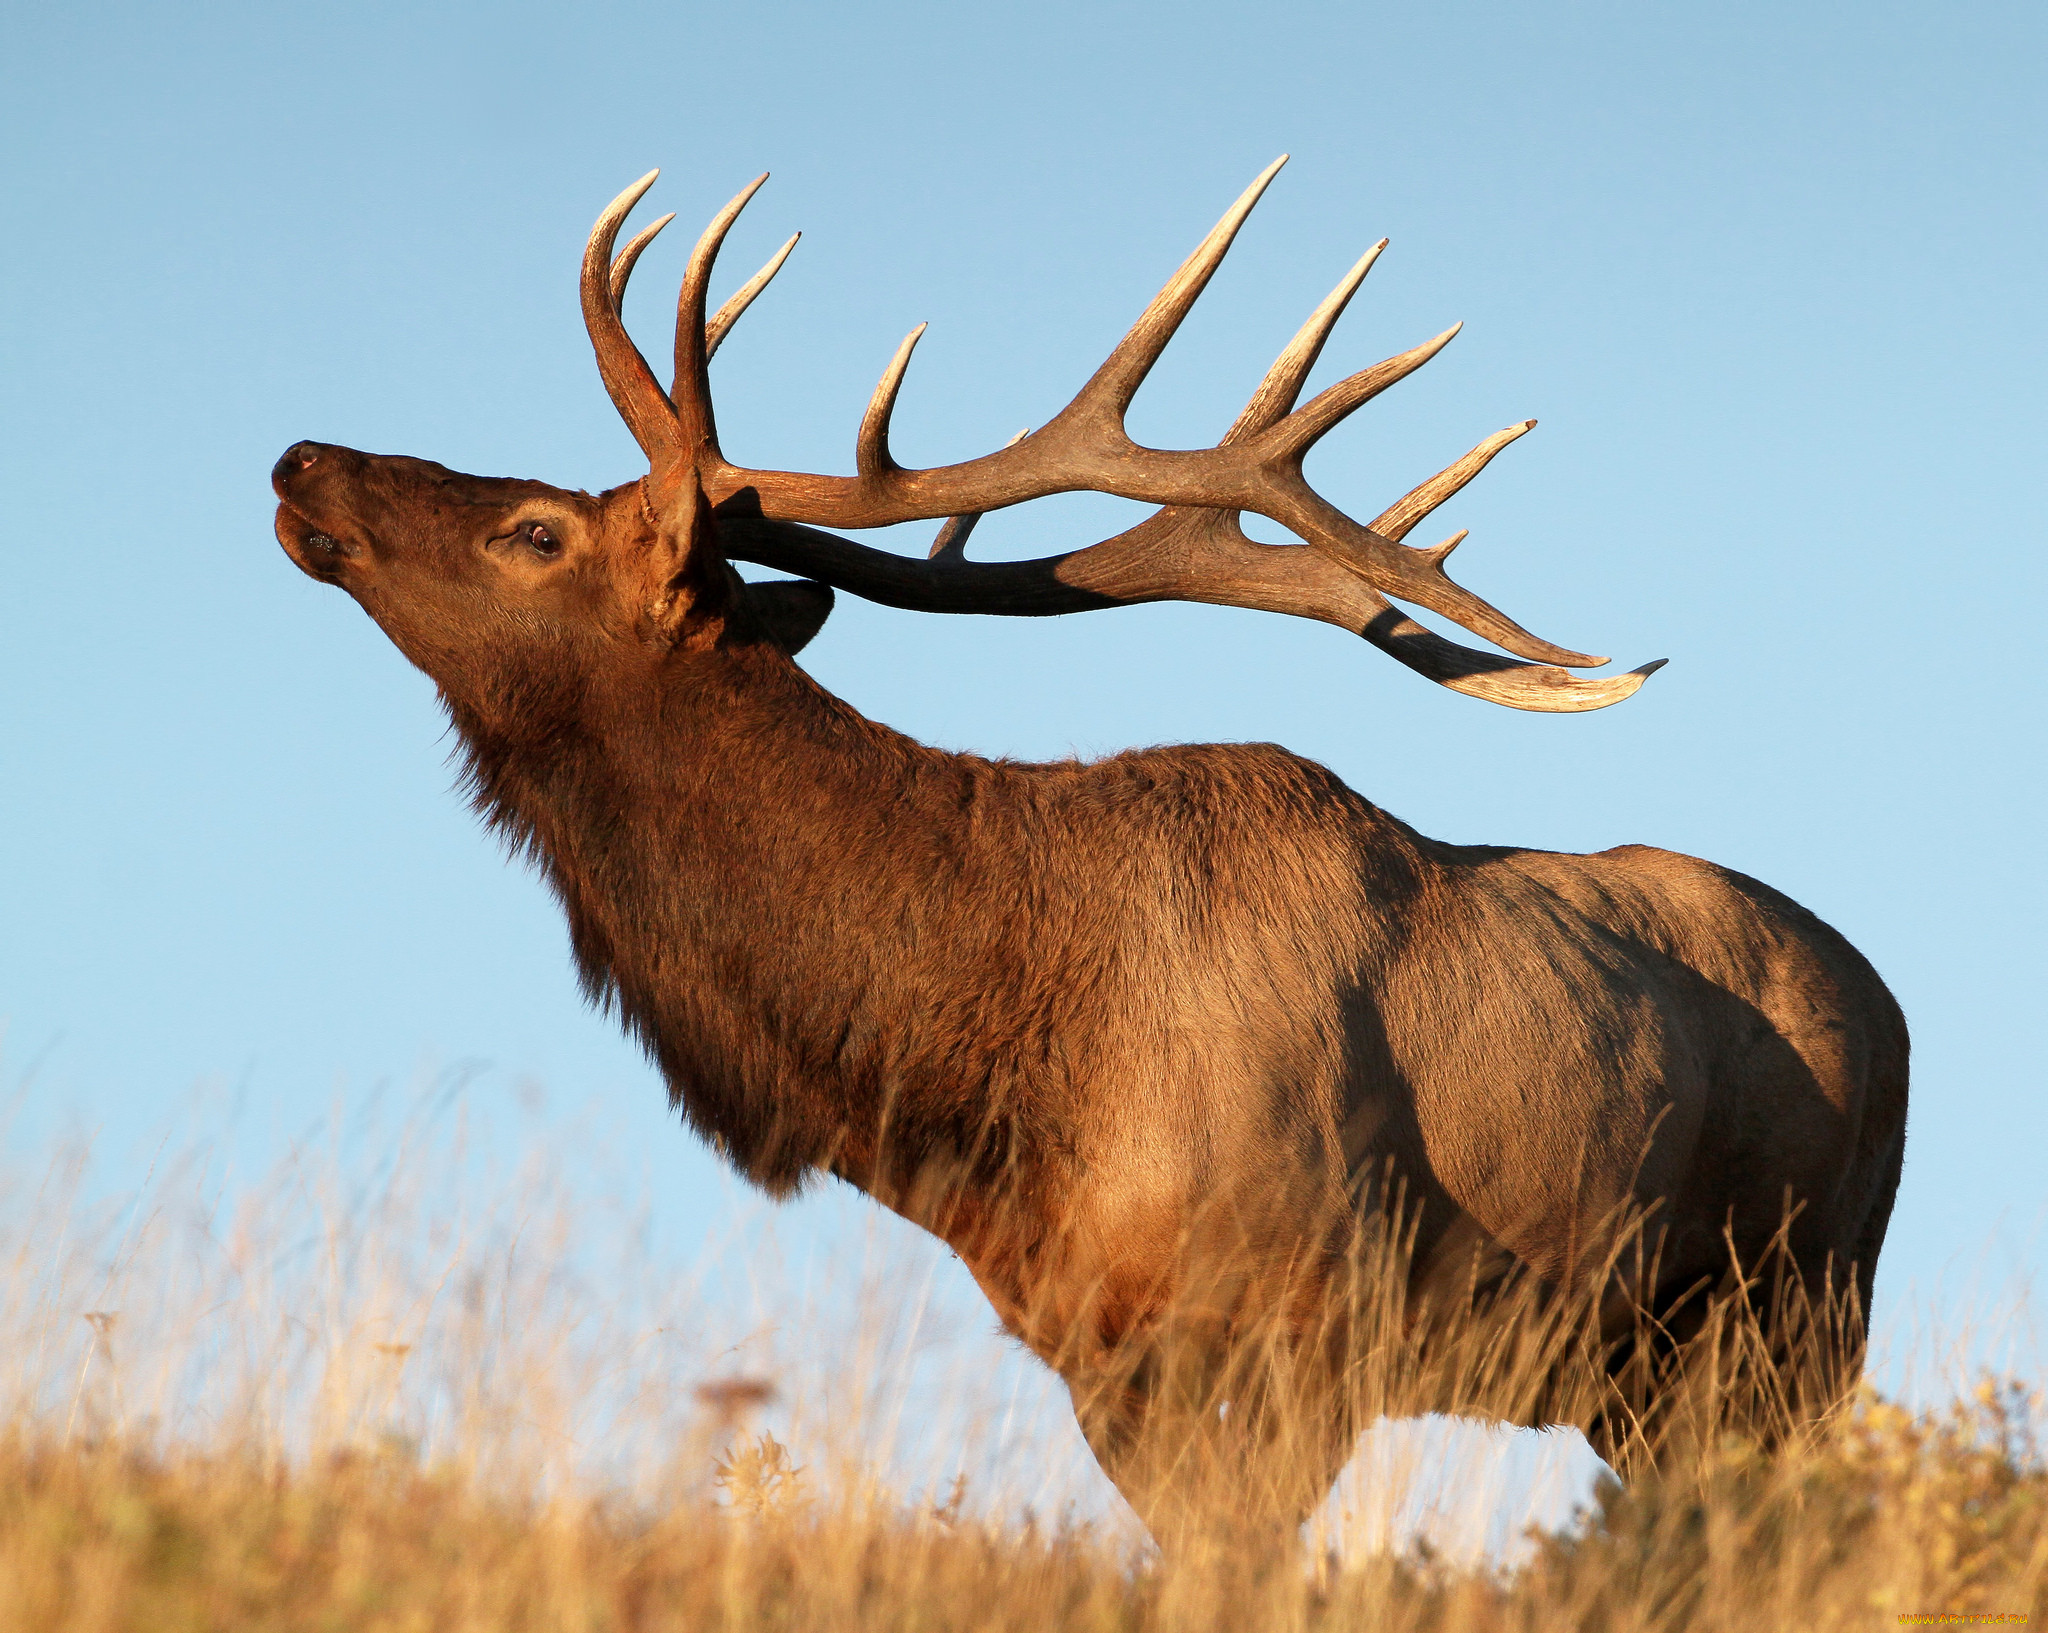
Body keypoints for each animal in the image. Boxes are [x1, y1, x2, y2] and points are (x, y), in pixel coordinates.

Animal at [272, 162, 1900, 1540]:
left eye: (537, 531)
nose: (302, 460)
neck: (999, 1089)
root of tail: (1882, 996)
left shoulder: (1305, 1338)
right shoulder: (1098, 1361)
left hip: (1798, 1316)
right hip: (1650, 1381)